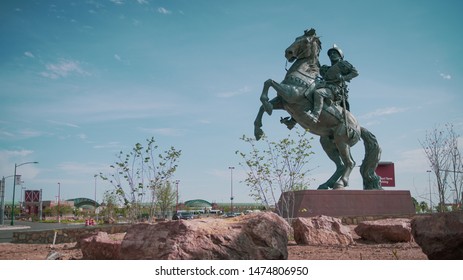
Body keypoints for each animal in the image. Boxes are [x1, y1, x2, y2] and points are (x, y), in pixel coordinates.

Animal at [256, 31, 382, 190]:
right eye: (296, 38)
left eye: (304, 41)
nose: (288, 52)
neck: (303, 74)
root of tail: (359, 127)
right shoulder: (283, 102)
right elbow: (262, 104)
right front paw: (258, 130)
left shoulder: (290, 93)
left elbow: (269, 82)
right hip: (328, 143)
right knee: (340, 165)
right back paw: (326, 184)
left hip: (342, 141)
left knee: (350, 163)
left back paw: (340, 183)